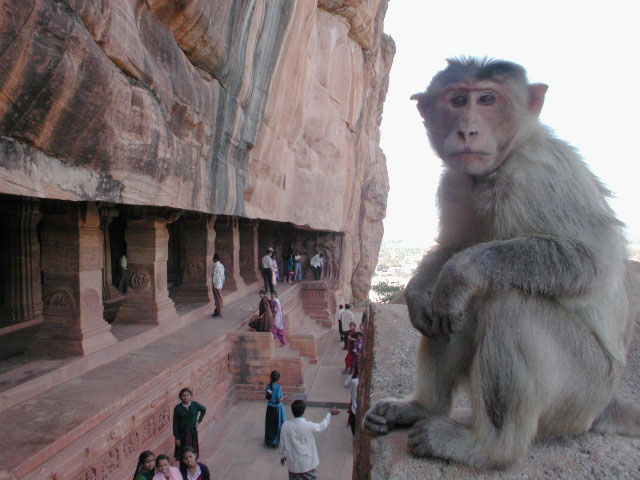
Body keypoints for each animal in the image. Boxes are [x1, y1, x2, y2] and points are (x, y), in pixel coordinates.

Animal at [364, 58, 640, 470]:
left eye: (488, 99)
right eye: (457, 100)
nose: (467, 129)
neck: (498, 166)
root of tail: (605, 403)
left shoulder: (536, 175)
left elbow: (590, 263)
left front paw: (459, 273)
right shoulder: (455, 183)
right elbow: (452, 246)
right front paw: (417, 293)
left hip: (582, 390)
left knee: (510, 304)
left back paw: (489, 449)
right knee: (458, 313)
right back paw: (423, 407)